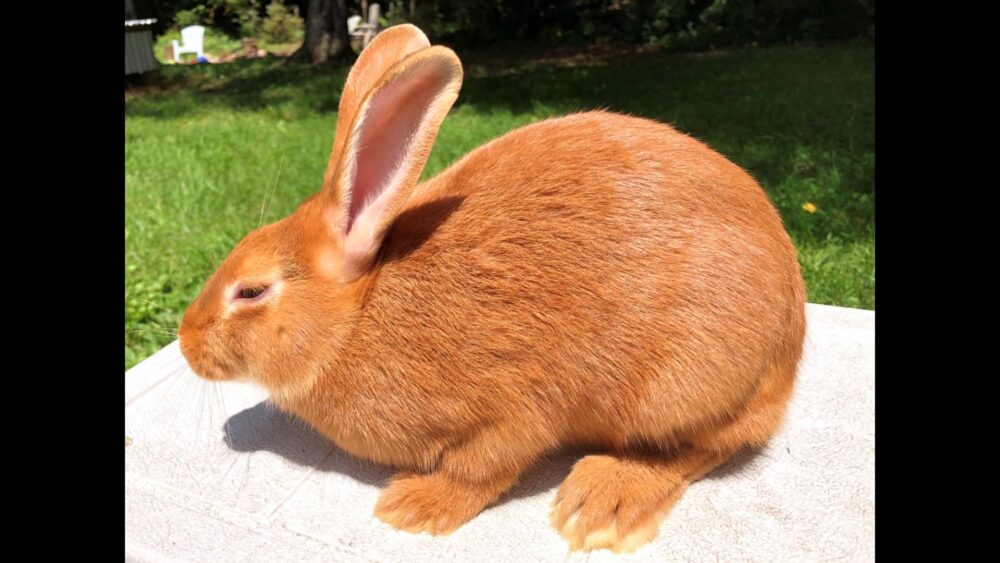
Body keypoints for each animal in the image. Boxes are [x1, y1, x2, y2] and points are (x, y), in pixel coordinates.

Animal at [178, 24, 806, 553]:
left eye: (251, 292)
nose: (185, 342)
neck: (356, 320)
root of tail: (790, 345)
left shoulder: (513, 408)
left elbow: (482, 466)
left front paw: (412, 507)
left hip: (685, 383)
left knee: (703, 447)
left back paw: (597, 506)